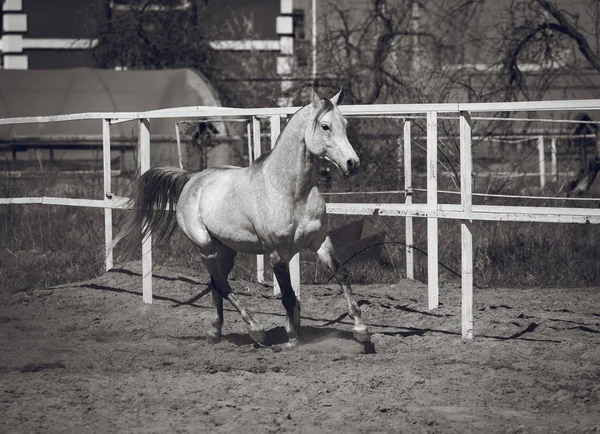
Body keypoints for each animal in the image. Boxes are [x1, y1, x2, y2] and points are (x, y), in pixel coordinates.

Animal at [110, 89, 368, 350]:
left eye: (345, 124)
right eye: (325, 126)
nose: (352, 163)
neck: (290, 191)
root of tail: (193, 178)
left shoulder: (320, 242)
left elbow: (341, 274)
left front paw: (361, 329)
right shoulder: (277, 253)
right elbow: (287, 295)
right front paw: (292, 338)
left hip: (226, 250)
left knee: (216, 283)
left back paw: (215, 332)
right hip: (205, 247)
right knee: (222, 284)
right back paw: (256, 330)